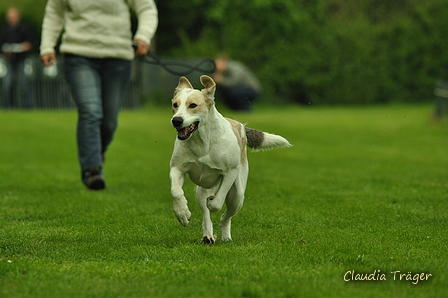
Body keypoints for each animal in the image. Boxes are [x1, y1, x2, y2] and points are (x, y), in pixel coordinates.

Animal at [168, 75, 290, 244]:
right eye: (175, 105)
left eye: (192, 105)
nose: (177, 120)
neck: (202, 141)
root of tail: (240, 126)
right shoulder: (177, 168)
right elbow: (176, 191)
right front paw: (182, 214)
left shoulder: (230, 172)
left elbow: (217, 203)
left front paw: (212, 202)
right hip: (201, 190)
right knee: (205, 214)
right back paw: (208, 236)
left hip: (237, 196)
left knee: (226, 215)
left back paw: (225, 236)